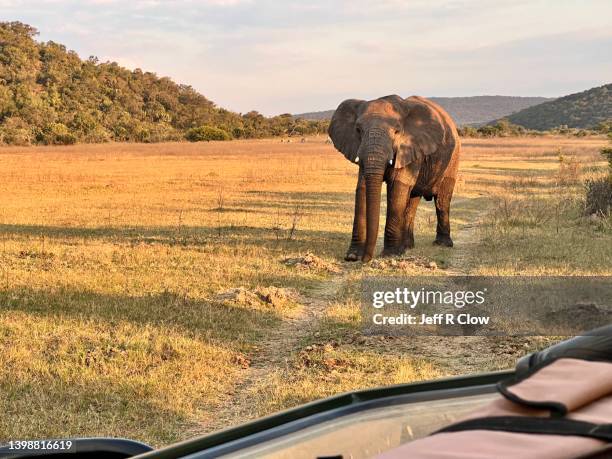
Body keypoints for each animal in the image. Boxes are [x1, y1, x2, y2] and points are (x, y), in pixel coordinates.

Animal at [330, 95, 460, 262]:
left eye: (397, 131)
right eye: (358, 130)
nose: (366, 259)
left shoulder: (409, 146)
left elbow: (398, 186)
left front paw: (390, 254)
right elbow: (362, 187)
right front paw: (352, 256)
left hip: (453, 159)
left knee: (442, 201)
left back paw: (442, 245)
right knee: (412, 201)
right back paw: (407, 247)